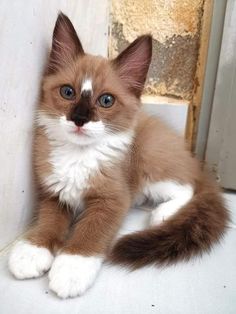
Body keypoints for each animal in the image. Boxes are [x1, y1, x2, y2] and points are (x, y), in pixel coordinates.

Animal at [8, 12, 230, 300]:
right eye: (68, 92)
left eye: (106, 101)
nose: (79, 119)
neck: (79, 155)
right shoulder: (54, 193)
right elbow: (48, 222)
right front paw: (31, 251)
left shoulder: (112, 200)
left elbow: (90, 234)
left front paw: (71, 269)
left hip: (149, 158)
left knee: (189, 188)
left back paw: (162, 215)